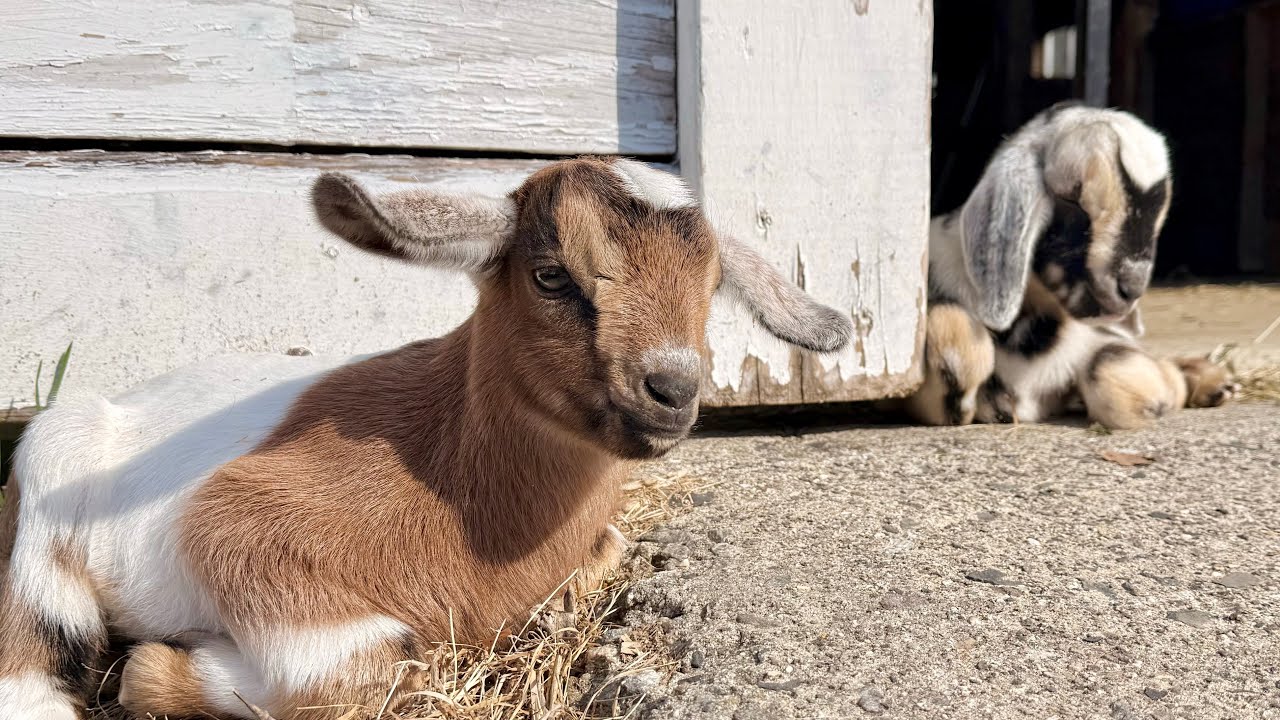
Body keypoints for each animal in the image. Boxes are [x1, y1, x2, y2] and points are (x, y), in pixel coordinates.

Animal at [0, 157, 853, 719]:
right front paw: (163, 662)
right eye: (551, 275)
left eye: (711, 290)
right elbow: (354, 675)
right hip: (54, 450)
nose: (673, 390)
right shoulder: (238, 530)